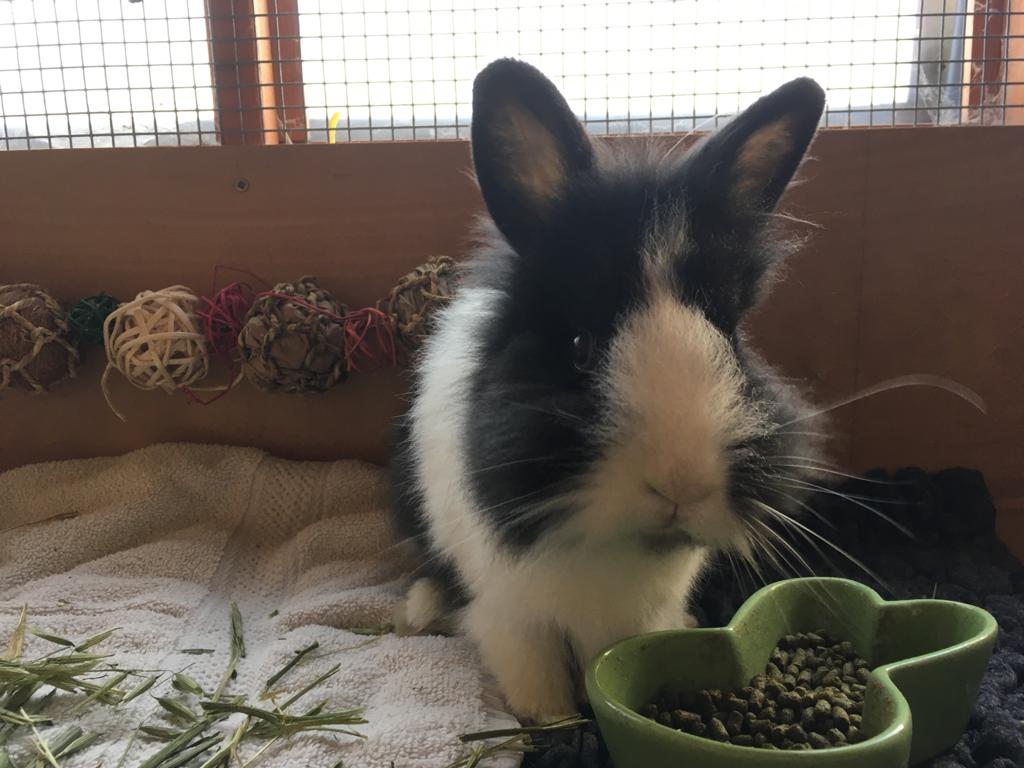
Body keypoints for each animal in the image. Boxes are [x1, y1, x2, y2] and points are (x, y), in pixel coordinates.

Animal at [389, 58, 829, 723]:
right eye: (580, 346)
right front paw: (553, 720)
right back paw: (420, 609)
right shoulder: (513, 617)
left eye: (729, 336)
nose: (680, 484)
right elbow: (534, 675)